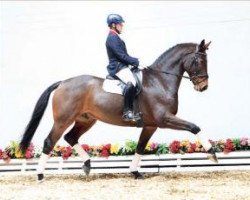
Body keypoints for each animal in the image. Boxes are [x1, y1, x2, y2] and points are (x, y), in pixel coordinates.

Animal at [19, 39, 217, 181]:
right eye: (199, 61)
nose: (204, 86)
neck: (159, 81)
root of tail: (62, 83)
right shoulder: (164, 119)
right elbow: (194, 127)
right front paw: (212, 154)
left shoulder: (151, 125)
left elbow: (140, 147)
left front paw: (135, 172)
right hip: (63, 120)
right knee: (49, 142)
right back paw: (40, 175)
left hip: (86, 119)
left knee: (71, 137)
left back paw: (87, 164)